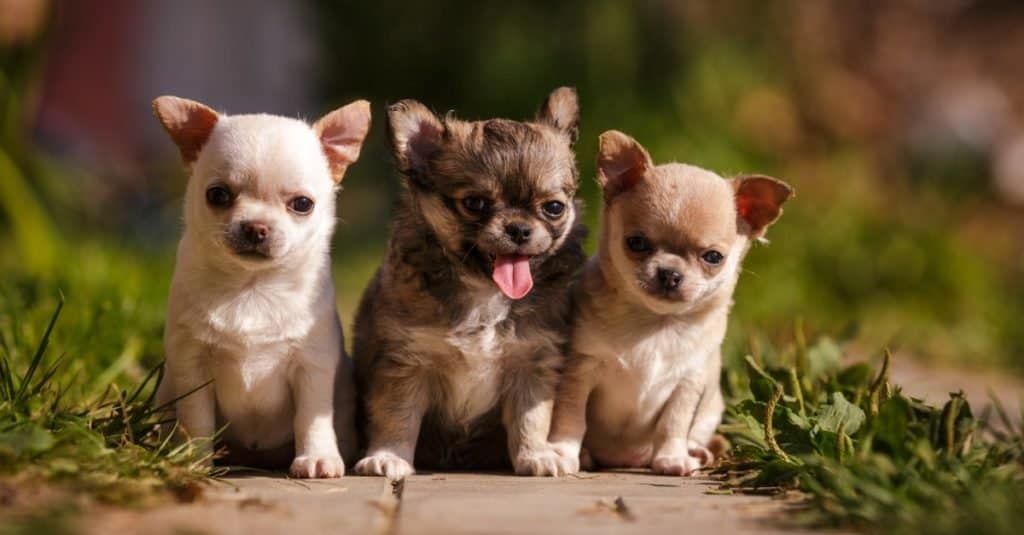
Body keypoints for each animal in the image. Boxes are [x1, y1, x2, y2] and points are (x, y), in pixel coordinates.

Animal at [153, 94, 370, 475]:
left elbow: (310, 418)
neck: (251, 287)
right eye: (218, 195)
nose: (256, 227)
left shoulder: (312, 367)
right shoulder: (192, 365)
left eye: (302, 204)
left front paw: (316, 457)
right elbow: (196, 419)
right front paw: (193, 460)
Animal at [356, 88, 589, 479]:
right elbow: (397, 417)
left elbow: (531, 418)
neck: (485, 293)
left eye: (554, 208)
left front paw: (536, 454)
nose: (519, 228)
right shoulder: (405, 362)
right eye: (476, 203)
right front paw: (388, 457)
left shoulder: (533, 362)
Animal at [552, 131, 790, 473]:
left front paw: (672, 458)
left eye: (713, 257)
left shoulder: (689, 381)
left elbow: (674, 423)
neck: (656, 324)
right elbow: (571, 416)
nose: (670, 274)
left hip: (711, 408)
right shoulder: (580, 369)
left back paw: (696, 453)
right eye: (636, 243)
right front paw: (563, 452)